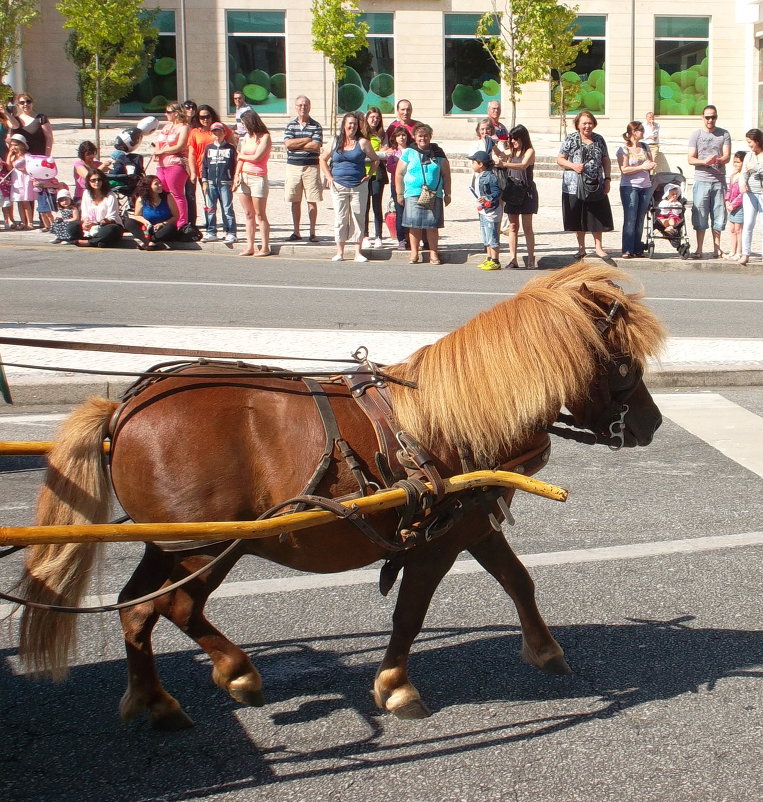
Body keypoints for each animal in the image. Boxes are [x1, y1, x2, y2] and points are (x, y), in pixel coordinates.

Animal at [14, 266, 664, 728]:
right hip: (209, 546)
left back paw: (155, 700)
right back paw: (237, 673)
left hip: (169, 547)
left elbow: (518, 580)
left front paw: (546, 650)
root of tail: (121, 412)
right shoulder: (434, 545)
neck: (449, 420)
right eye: (622, 361)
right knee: (176, 608)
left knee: (135, 609)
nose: (652, 423)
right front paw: (396, 686)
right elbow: (411, 612)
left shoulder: (471, 525)